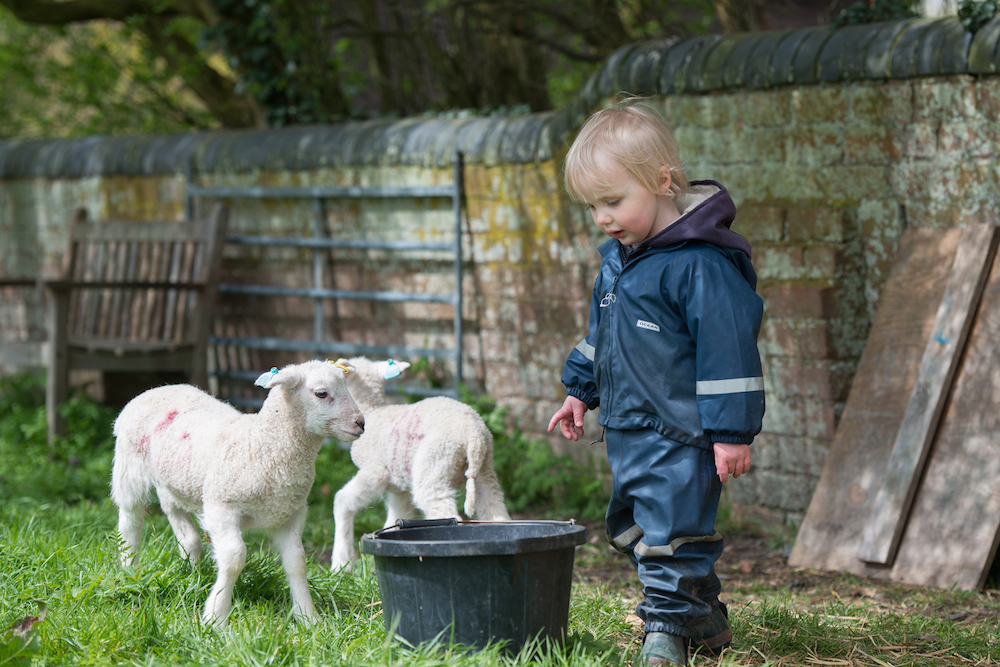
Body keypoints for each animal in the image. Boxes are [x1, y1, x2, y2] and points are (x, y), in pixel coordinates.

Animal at [110, 359, 365, 627]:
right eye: (321, 393)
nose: (361, 423)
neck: (263, 444)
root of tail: (158, 389)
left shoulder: (290, 514)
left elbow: (297, 562)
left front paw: (308, 618)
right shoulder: (221, 509)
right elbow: (234, 559)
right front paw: (216, 617)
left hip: (175, 483)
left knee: (181, 525)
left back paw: (192, 574)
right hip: (129, 468)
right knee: (130, 520)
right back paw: (129, 570)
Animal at [330, 357, 510, 571]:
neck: (372, 411)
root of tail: (472, 434)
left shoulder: (375, 471)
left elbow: (342, 500)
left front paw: (341, 563)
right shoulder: (398, 488)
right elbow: (396, 514)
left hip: (435, 465)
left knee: (448, 515)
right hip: (485, 470)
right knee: (496, 512)